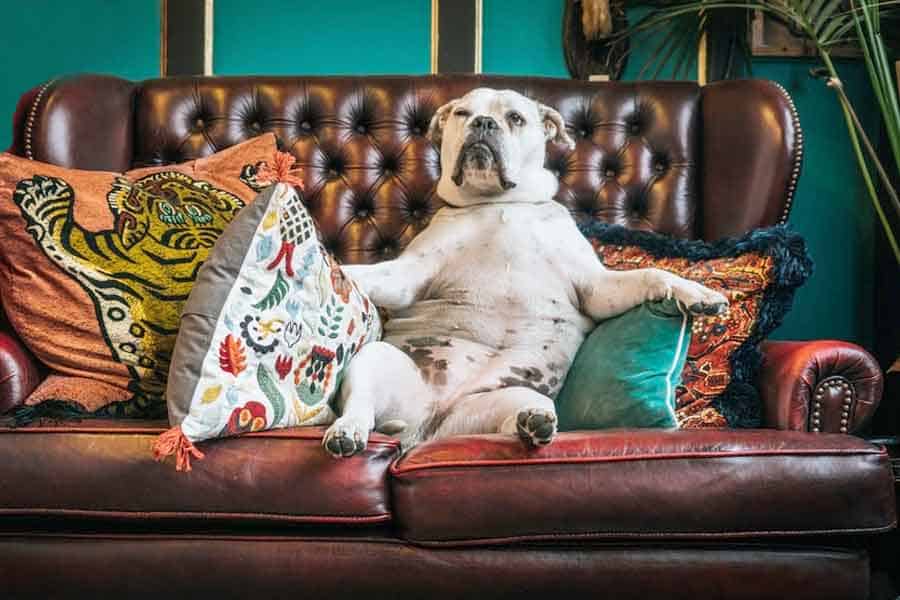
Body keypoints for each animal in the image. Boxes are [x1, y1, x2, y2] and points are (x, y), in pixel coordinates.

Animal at [324, 88, 724, 454]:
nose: (483, 123)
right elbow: (363, 273)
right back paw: (347, 432)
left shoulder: (597, 287)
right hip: (375, 361)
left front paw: (699, 294)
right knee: (361, 407)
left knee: (512, 420)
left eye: (515, 118)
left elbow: (652, 274)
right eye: (462, 113)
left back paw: (531, 424)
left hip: (502, 402)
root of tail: (427, 426)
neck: (501, 203)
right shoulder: (409, 274)